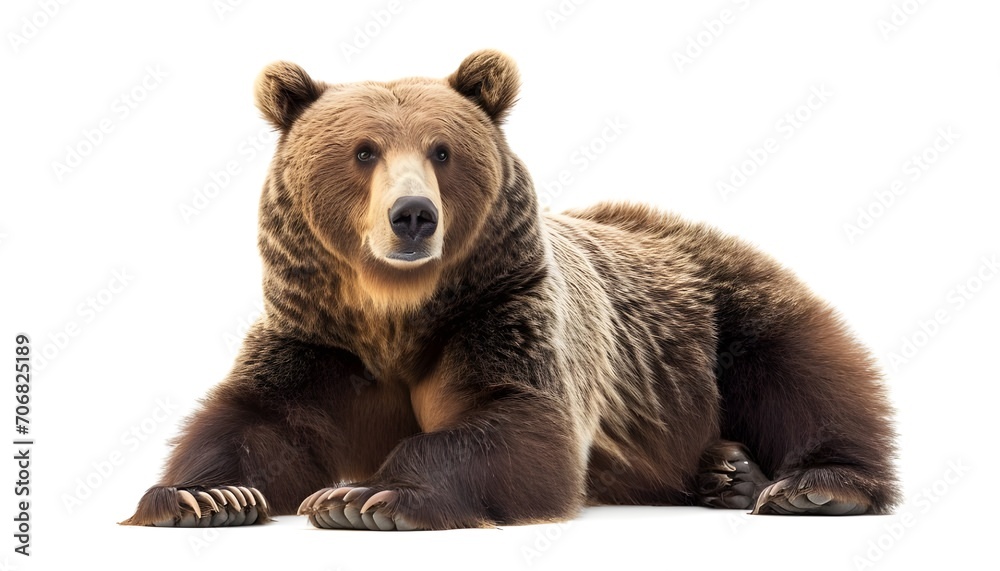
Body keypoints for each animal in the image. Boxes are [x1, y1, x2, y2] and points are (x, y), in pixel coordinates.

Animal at [122, 50, 899, 530]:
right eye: (363, 151)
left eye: (441, 150)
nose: (413, 214)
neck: (396, 312)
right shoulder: (317, 337)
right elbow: (258, 420)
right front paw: (206, 494)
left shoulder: (501, 311)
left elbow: (520, 424)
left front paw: (363, 494)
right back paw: (726, 471)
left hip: (719, 316)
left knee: (807, 374)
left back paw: (808, 486)